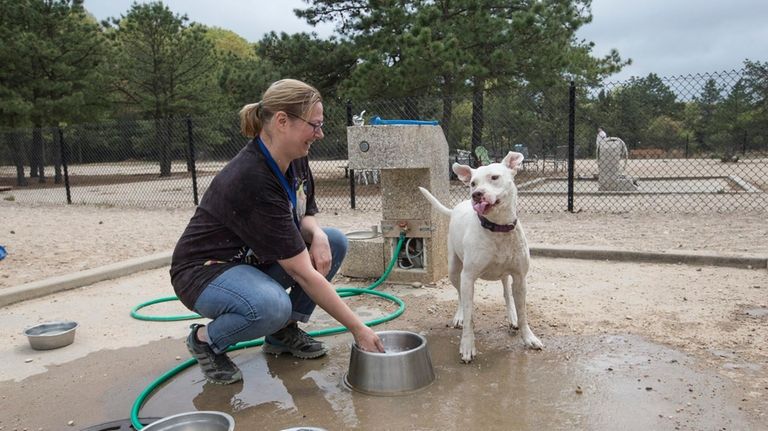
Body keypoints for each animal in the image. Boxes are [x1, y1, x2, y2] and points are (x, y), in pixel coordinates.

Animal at [420, 153, 540, 364]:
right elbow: (469, 314)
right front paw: (467, 345)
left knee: (506, 293)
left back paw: (512, 318)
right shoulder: (468, 277)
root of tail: (456, 207)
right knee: (460, 296)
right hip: (454, 270)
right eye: (473, 183)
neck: (498, 229)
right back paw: (460, 316)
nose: (476, 194)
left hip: (504, 276)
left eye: (494, 177)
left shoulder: (520, 278)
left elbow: (523, 312)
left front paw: (528, 337)